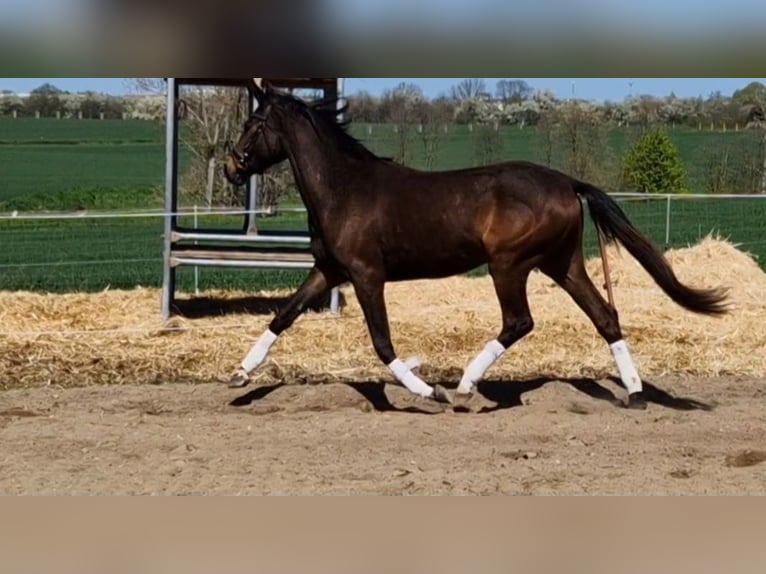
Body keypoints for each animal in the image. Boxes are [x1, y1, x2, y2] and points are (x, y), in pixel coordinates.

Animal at [224, 83, 732, 412]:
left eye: (253, 123)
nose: (231, 167)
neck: (344, 190)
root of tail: (568, 182)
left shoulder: (367, 275)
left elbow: (383, 343)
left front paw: (429, 391)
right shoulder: (328, 270)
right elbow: (282, 316)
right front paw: (240, 374)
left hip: (509, 264)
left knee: (519, 321)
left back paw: (466, 385)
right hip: (562, 264)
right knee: (605, 316)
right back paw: (636, 393)